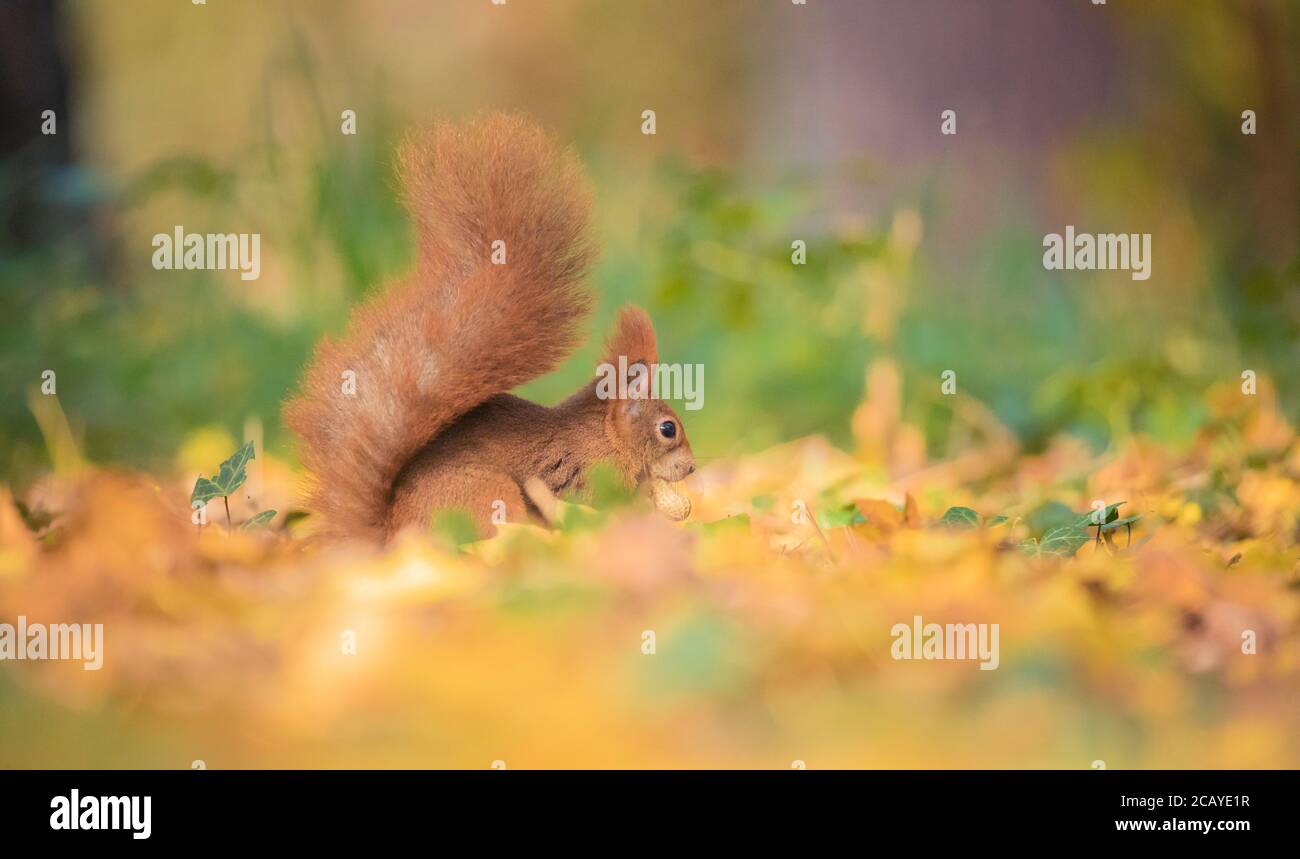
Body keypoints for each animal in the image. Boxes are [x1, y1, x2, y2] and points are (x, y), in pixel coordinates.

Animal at [282, 112, 691, 543]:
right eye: (668, 429)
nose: (693, 468)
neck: (605, 437)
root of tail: (394, 537)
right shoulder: (585, 474)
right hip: (491, 495)